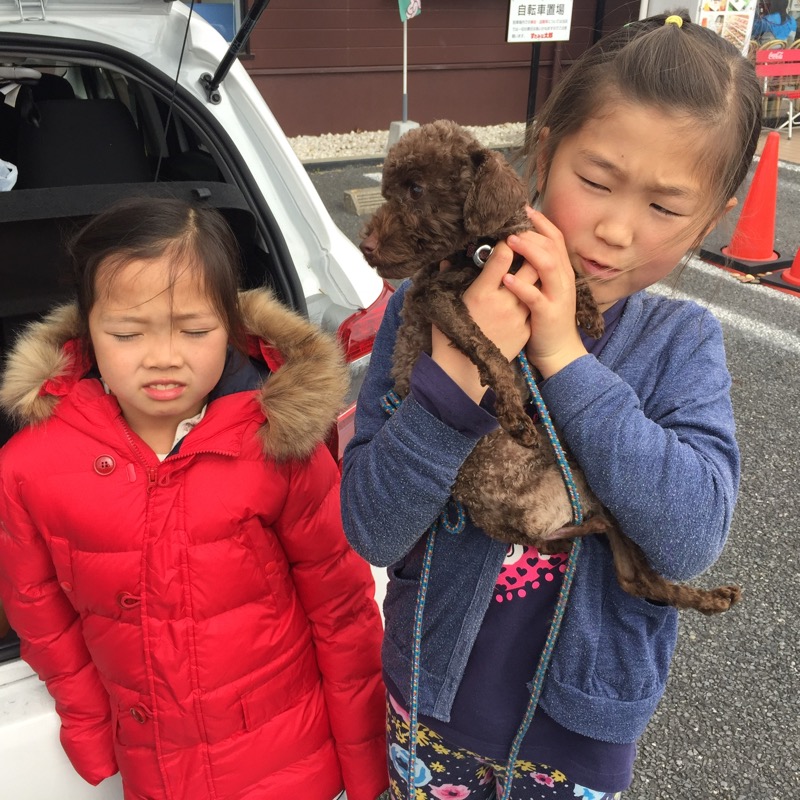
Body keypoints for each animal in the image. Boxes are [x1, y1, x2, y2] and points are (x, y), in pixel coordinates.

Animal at [360, 119, 740, 616]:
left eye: (416, 190)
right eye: (388, 191)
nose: (365, 247)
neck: (483, 248)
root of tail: (536, 523)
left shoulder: (537, 247)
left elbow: (573, 271)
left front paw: (589, 314)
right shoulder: (436, 297)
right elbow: (486, 346)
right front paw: (512, 409)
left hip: (597, 490)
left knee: (633, 576)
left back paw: (709, 597)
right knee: (623, 570)